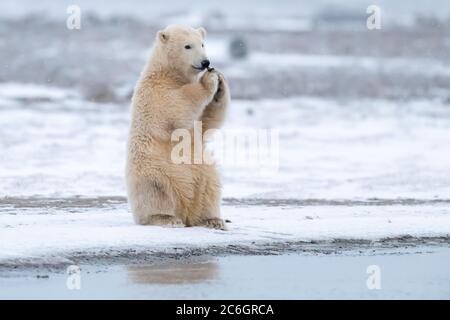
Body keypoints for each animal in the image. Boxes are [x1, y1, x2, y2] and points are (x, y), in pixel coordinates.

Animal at [125, 25, 229, 230]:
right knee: (156, 191)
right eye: (187, 46)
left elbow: (205, 122)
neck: (167, 73)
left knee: (210, 189)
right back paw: (167, 218)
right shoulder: (155, 92)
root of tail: (185, 210)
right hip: (153, 170)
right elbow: (178, 108)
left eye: (202, 43)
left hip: (202, 170)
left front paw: (220, 82)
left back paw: (212, 220)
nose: (206, 62)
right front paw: (209, 80)